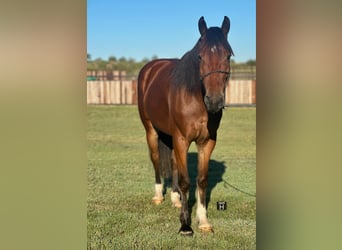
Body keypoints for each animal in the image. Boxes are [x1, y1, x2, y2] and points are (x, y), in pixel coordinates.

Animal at [138, 16, 234, 236]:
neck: (196, 99)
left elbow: (201, 180)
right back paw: (159, 196)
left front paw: (203, 221)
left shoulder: (207, 142)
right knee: (156, 159)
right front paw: (185, 225)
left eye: (228, 56)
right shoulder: (182, 139)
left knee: (173, 162)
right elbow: (185, 181)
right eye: (200, 56)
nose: (214, 101)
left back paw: (174, 198)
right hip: (151, 130)